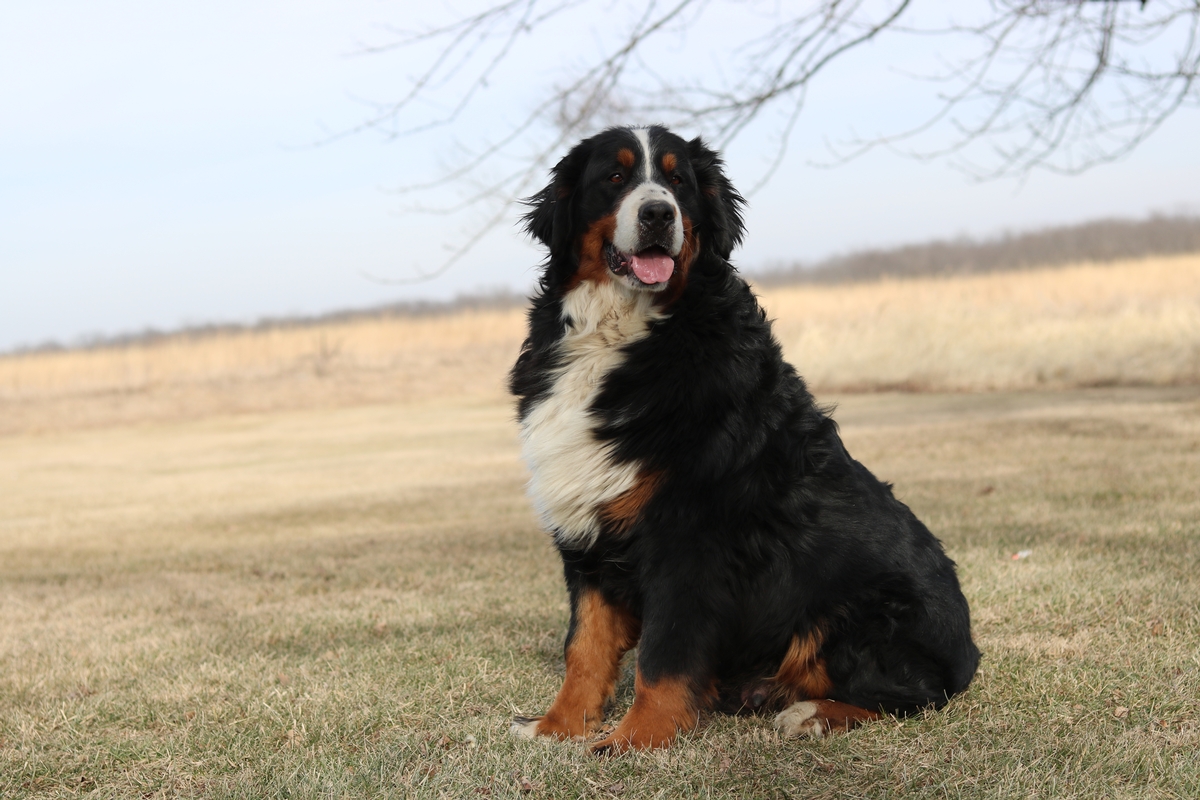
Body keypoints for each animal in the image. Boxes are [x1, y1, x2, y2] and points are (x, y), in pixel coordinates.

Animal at [511, 126, 979, 758]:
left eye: (678, 180)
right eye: (614, 176)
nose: (658, 214)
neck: (627, 334)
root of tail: (967, 654)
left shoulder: (687, 540)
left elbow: (664, 654)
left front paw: (636, 739)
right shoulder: (586, 538)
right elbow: (583, 647)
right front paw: (557, 727)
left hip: (854, 613)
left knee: (912, 696)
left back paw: (812, 714)